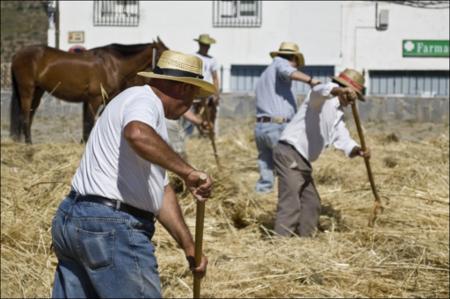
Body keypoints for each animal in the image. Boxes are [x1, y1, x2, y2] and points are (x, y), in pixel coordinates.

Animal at [10, 37, 169, 143]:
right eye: (163, 53)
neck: (113, 64)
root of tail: (18, 54)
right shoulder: (94, 99)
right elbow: (90, 123)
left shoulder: (103, 99)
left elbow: (89, 123)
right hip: (27, 90)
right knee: (25, 114)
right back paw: (29, 143)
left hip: (38, 91)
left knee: (30, 114)